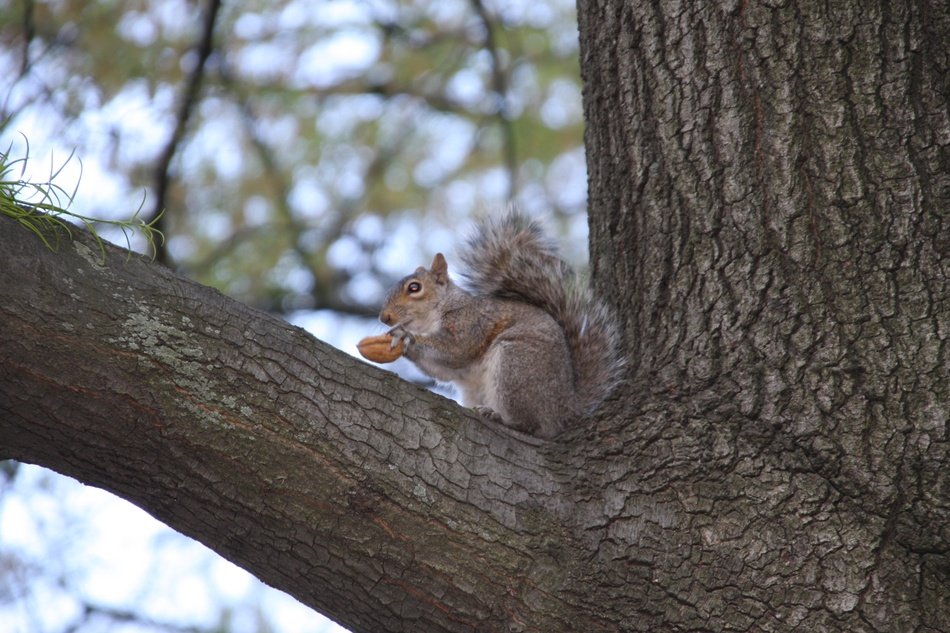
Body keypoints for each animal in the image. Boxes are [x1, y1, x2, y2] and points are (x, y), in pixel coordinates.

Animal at [380, 212, 624, 440]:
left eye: (414, 288)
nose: (384, 317)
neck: (436, 313)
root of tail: (565, 408)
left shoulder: (471, 322)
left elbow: (455, 350)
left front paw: (406, 336)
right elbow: (443, 370)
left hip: (515, 365)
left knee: (531, 425)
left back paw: (501, 417)